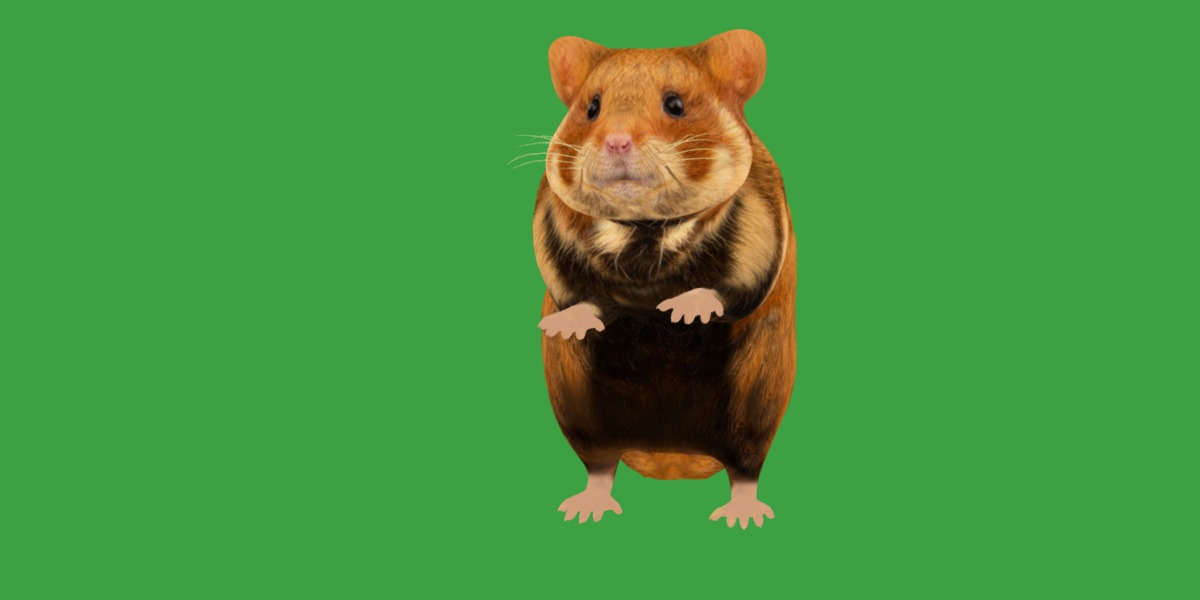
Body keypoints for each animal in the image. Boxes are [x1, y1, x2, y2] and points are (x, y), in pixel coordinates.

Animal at [531, 30, 796, 529]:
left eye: (675, 104)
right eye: (591, 108)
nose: (616, 142)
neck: (643, 229)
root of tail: (671, 459)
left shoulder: (762, 229)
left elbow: (734, 284)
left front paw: (683, 311)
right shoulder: (553, 231)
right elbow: (580, 292)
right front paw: (566, 322)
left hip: (756, 403)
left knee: (745, 468)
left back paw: (742, 517)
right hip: (579, 410)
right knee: (600, 464)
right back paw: (585, 510)